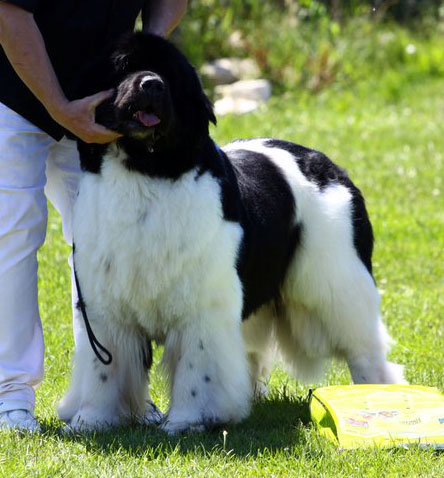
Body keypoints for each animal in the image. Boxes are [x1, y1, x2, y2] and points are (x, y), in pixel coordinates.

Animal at [58, 32, 406, 434]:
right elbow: (104, 370)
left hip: (335, 280)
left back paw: (375, 396)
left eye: (169, 74)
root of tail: (328, 165)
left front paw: (188, 422)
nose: (152, 84)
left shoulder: (202, 307)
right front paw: (92, 421)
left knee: (364, 348)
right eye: (123, 67)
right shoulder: (105, 307)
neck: (147, 168)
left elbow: (198, 370)